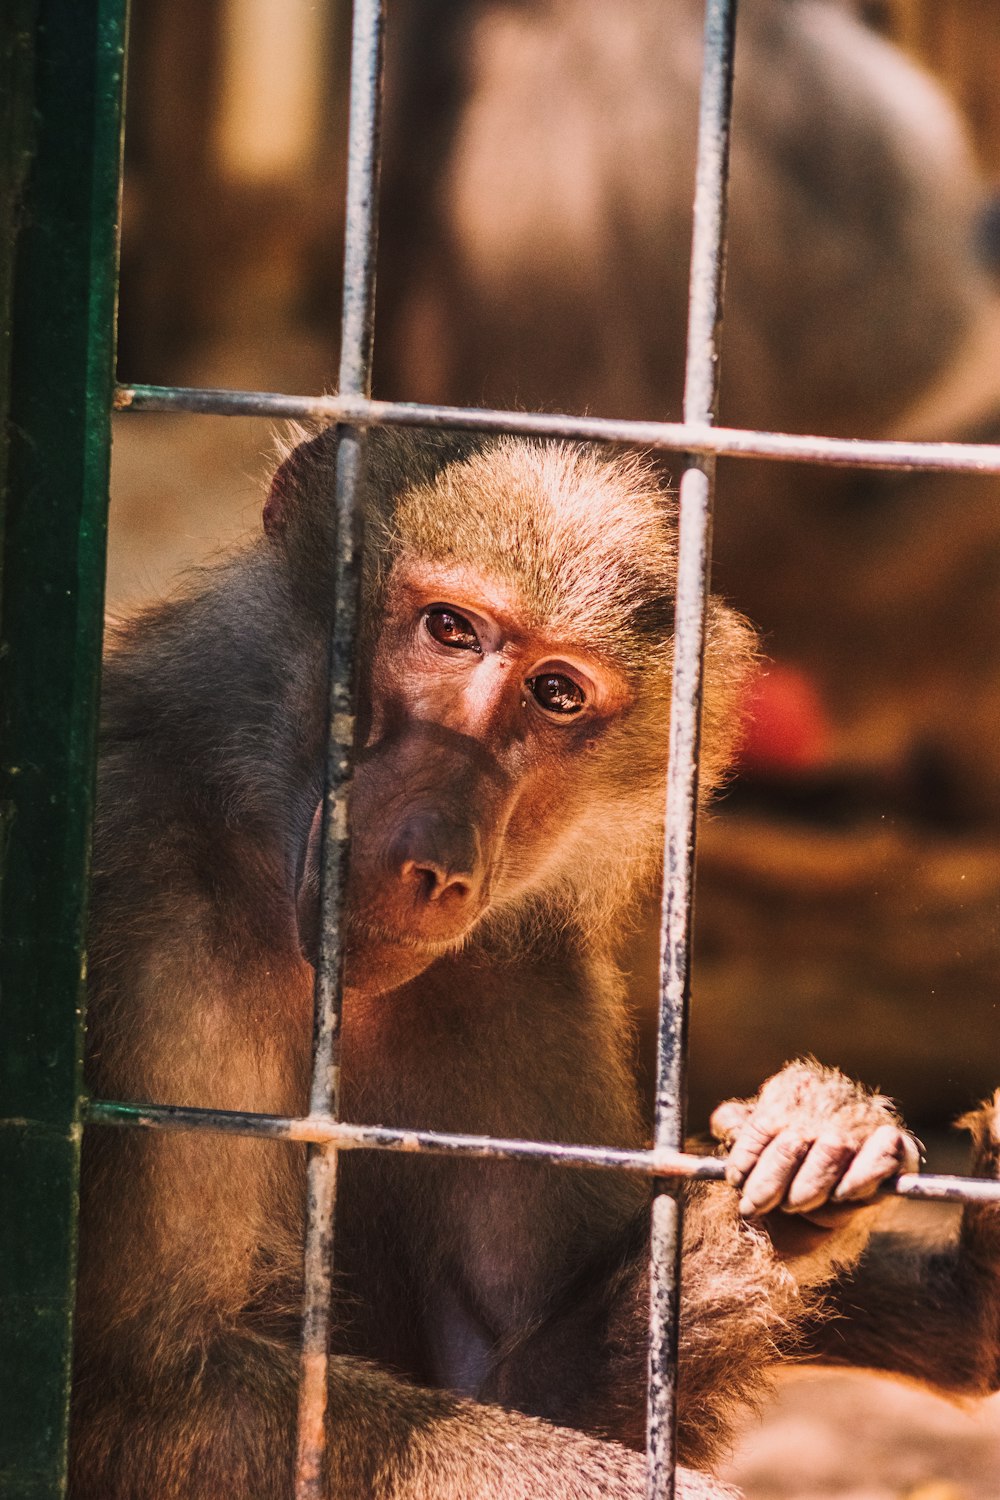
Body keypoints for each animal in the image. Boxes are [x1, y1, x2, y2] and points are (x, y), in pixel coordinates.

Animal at [72, 429, 1000, 1494]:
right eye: (450, 630)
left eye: (557, 694)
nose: (435, 859)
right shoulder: (148, 904)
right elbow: (151, 1382)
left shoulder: (513, 978)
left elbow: (515, 1380)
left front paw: (811, 1150)